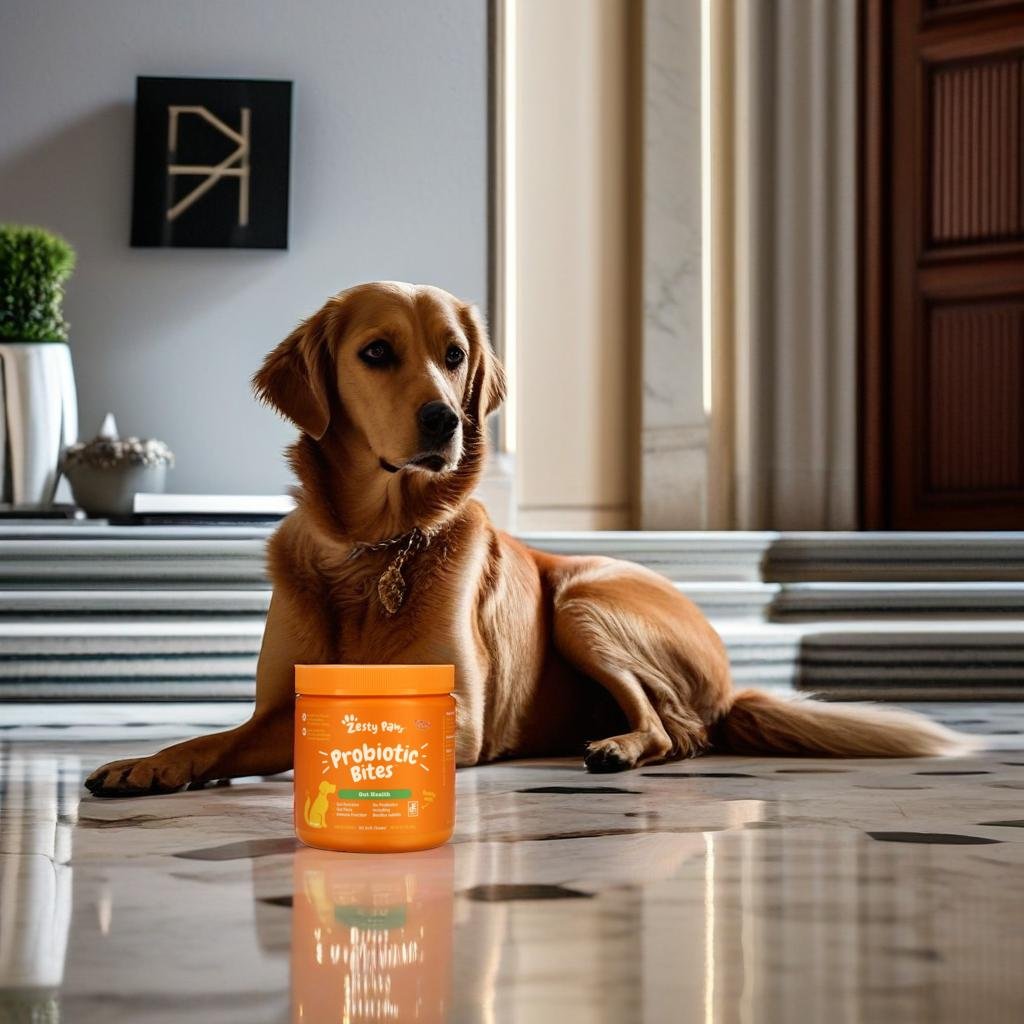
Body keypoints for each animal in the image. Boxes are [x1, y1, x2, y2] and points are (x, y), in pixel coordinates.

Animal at [83, 282, 962, 798]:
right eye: (377, 352)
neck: (377, 549)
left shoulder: (458, 717)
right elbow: (217, 737)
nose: (443, 420)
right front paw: (151, 764)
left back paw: (616, 746)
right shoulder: (276, 705)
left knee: (677, 731)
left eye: (453, 355)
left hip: (582, 602)